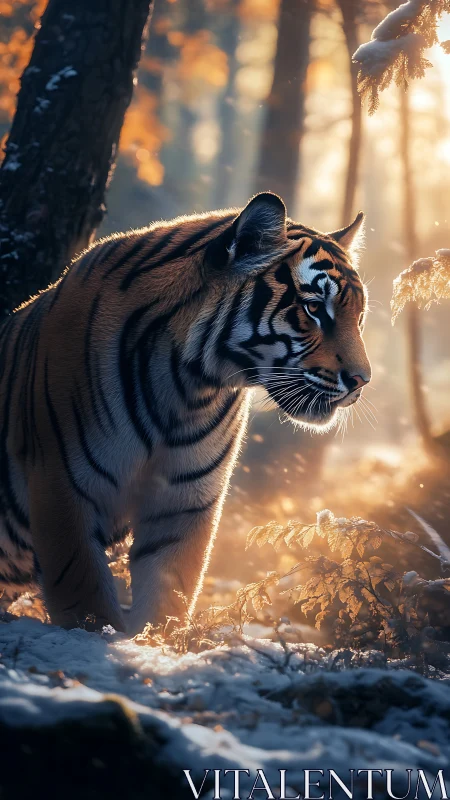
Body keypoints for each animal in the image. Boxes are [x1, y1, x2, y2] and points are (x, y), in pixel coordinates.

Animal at [0, 192, 370, 635]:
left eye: (359, 316)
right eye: (314, 308)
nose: (363, 381)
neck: (187, 386)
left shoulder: (184, 502)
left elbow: (169, 594)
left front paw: (158, 642)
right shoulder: (61, 488)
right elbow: (84, 597)